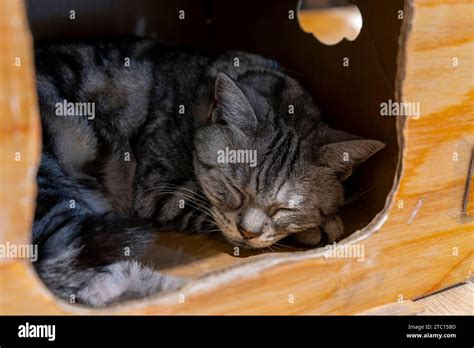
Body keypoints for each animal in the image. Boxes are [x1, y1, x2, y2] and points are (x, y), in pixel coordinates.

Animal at [31, 36, 386, 306]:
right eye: (234, 189)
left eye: (284, 208)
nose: (248, 233)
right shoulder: (157, 190)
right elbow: (202, 209)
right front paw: (321, 226)